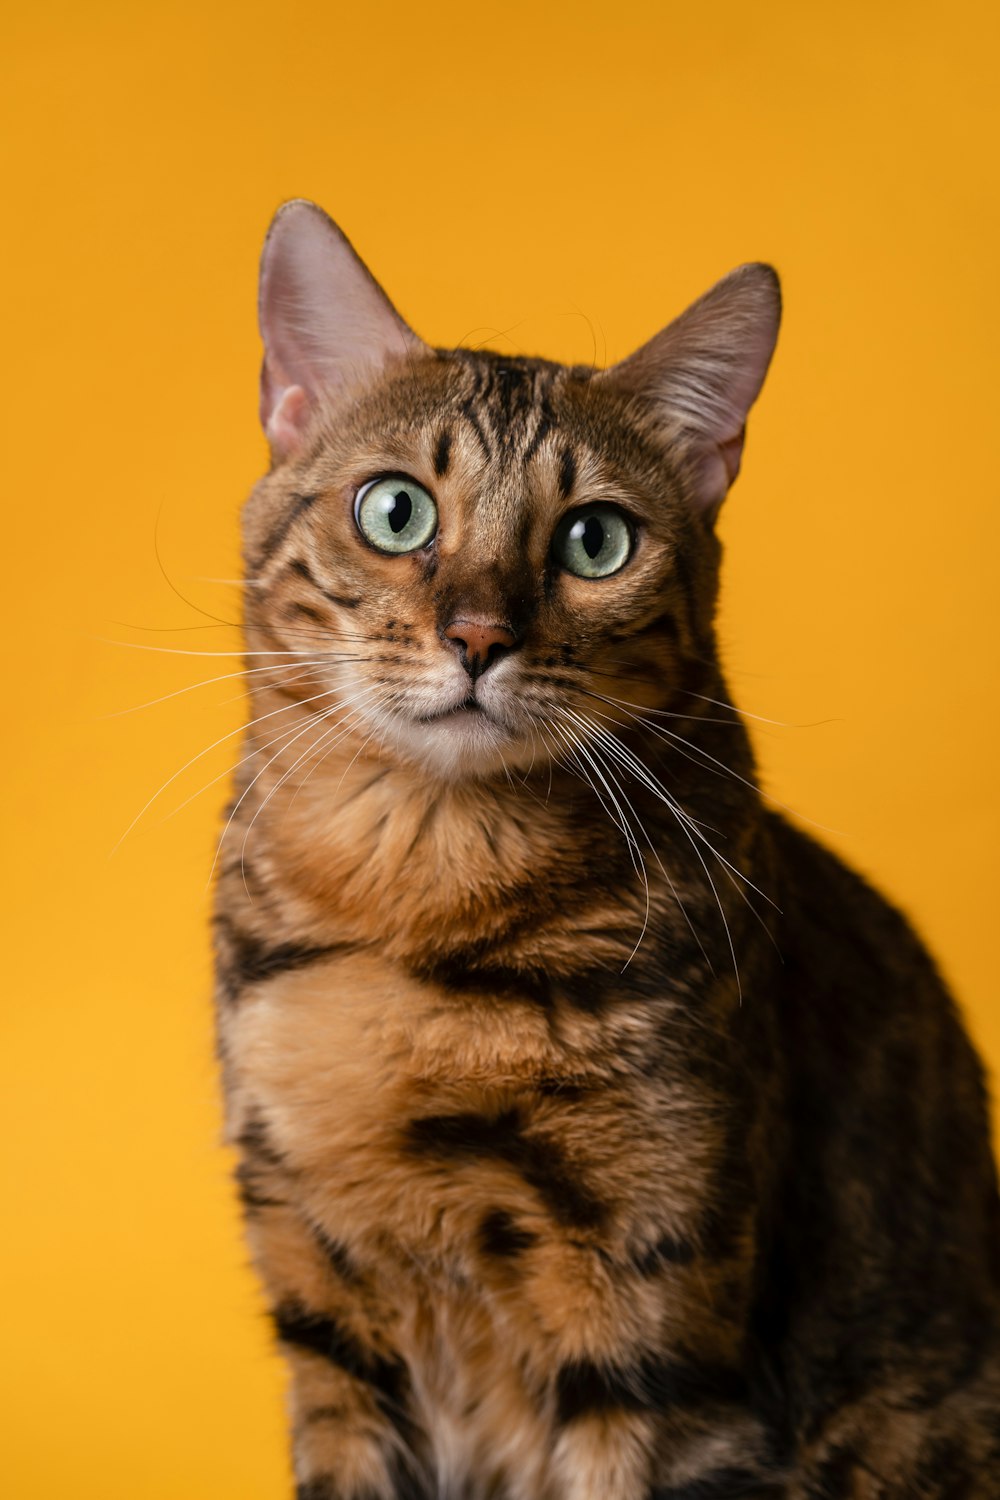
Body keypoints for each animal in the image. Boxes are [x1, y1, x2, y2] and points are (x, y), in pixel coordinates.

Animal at [215, 202, 1000, 1500]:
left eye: (594, 541)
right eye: (395, 511)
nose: (478, 635)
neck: (414, 912)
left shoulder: (650, 1303)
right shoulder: (323, 1301)